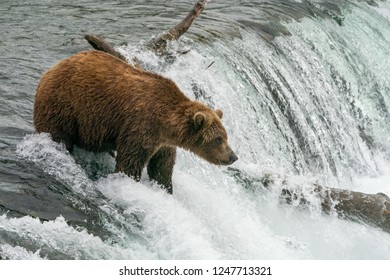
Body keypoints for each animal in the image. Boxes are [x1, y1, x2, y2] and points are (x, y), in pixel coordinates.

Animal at [33, 50, 236, 194]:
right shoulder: (142, 125)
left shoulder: (163, 143)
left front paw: (165, 187)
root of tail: (49, 71)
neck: (166, 124)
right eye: (218, 139)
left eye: (226, 136)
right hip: (65, 106)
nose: (233, 156)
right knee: (59, 134)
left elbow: (162, 166)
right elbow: (130, 161)